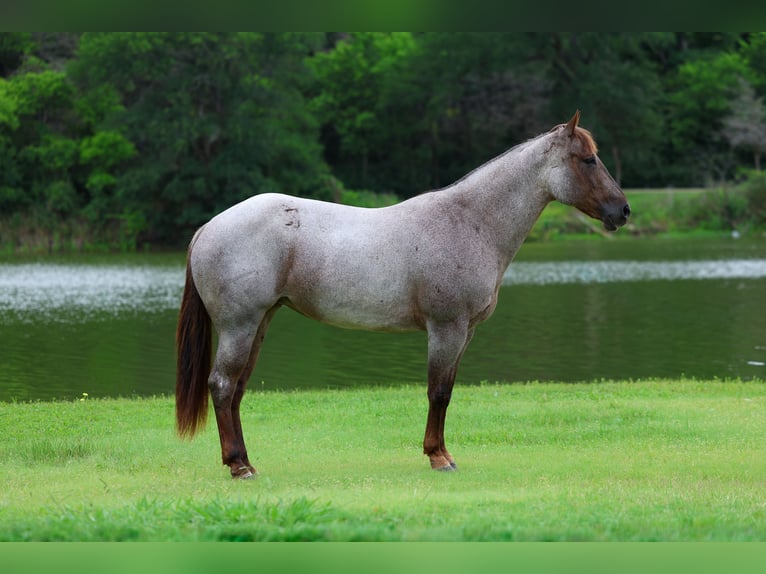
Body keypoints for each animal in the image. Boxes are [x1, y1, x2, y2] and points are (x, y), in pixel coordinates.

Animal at [175, 111, 630, 478]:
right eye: (588, 159)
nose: (623, 211)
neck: (469, 221)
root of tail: (209, 227)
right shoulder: (446, 328)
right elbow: (438, 392)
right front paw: (438, 457)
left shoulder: (465, 332)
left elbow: (447, 391)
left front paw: (442, 452)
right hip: (240, 326)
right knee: (222, 385)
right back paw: (238, 466)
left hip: (260, 323)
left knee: (236, 389)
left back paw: (244, 461)